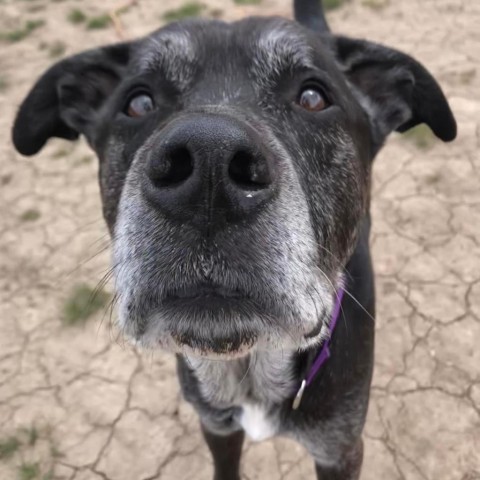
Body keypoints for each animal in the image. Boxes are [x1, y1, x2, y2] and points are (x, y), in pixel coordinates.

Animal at [10, 1, 454, 478]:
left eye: (313, 97)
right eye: (139, 102)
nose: (209, 163)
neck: (250, 367)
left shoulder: (340, 447)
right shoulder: (216, 426)